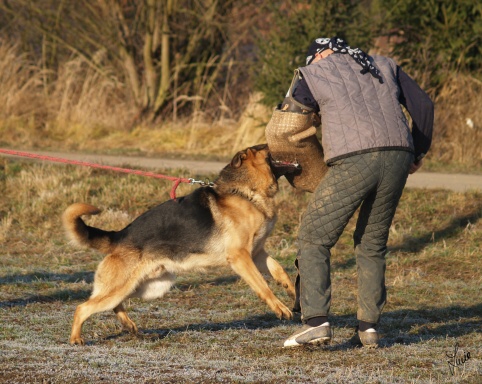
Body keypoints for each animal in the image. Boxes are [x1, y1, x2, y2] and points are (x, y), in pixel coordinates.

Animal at [63, 144, 298, 344]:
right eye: (264, 146)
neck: (246, 192)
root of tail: (119, 235)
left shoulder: (257, 253)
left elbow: (279, 269)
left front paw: (292, 290)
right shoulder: (241, 257)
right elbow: (263, 285)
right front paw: (280, 307)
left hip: (148, 286)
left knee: (113, 305)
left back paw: (128, 325)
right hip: (124, 286)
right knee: (83, 307)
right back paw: (76, 338)